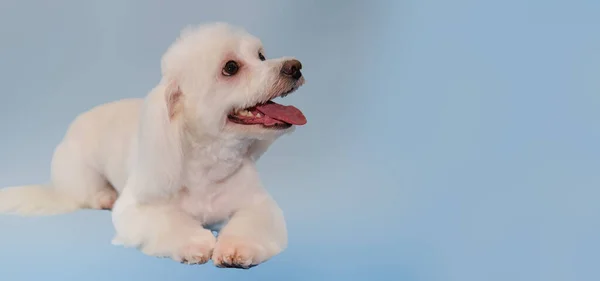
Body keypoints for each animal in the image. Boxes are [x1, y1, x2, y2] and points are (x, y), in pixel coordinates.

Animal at [0, 21, 308, 266]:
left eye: (261, 55)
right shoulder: (137, 208)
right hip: (79, 171)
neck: (209, 163)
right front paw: (196, 243)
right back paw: (104, 197)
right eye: (230, 67)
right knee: (85, 193)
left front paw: (236, 247)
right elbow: (170, 221)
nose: (295, 66)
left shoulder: (257, 205)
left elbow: (250, 222)